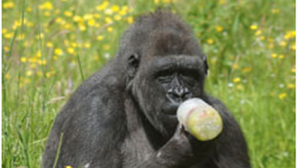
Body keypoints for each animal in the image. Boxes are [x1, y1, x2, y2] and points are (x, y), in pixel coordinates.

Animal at [42, 10, 251, 168]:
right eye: (164, 74)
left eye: (187, 73)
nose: (179, 94)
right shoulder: (97, 108)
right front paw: (181, 150)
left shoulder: (225, 118)